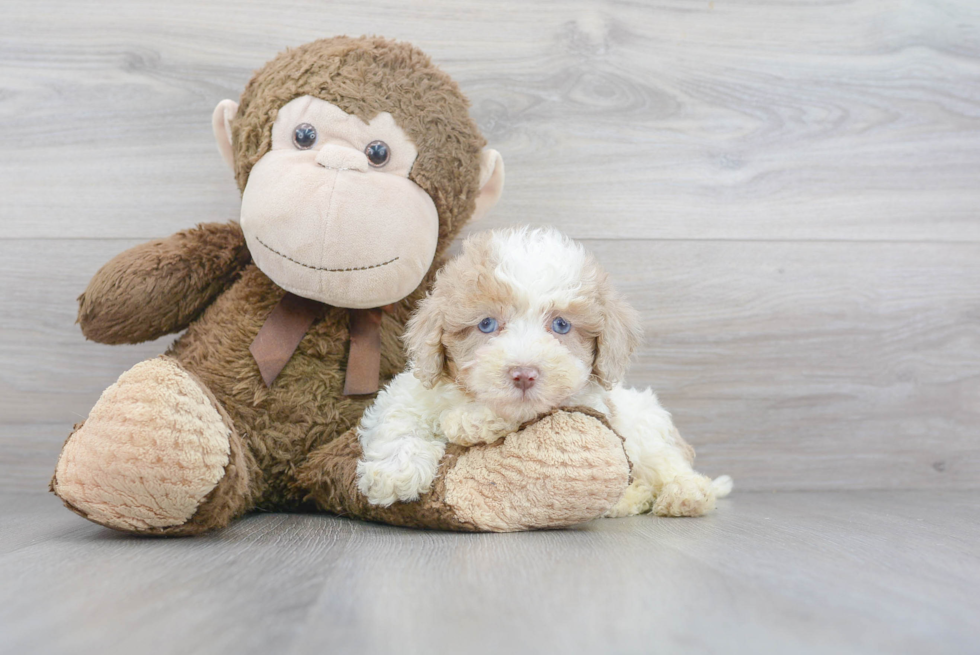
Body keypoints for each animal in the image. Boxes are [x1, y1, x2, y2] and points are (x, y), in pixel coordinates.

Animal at [356, 228, 732, 520]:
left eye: (561, 325)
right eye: (487, 324)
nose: (524, 374)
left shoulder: (587, 400)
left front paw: (468, 422)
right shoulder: (415, 388)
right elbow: (399, 416)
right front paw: (394, 472)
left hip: (645, 430)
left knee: (669, 465)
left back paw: (686, 494)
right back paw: (629, 500)